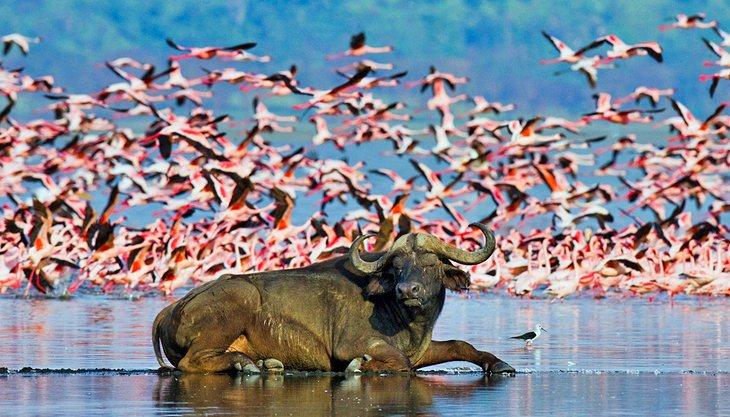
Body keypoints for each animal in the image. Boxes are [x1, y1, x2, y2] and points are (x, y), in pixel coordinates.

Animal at [152, 223, 514, 374]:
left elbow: (459, 345)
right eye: (396, 266)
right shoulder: (351, 344)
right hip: (237, 301)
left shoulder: (422, 349)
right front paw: (360, 367)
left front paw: (499, 364)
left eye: (430, 264)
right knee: (190, 363)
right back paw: (247, 365)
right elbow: (399, 362)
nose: (407, 290)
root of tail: (169, 310)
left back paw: (263, 364)